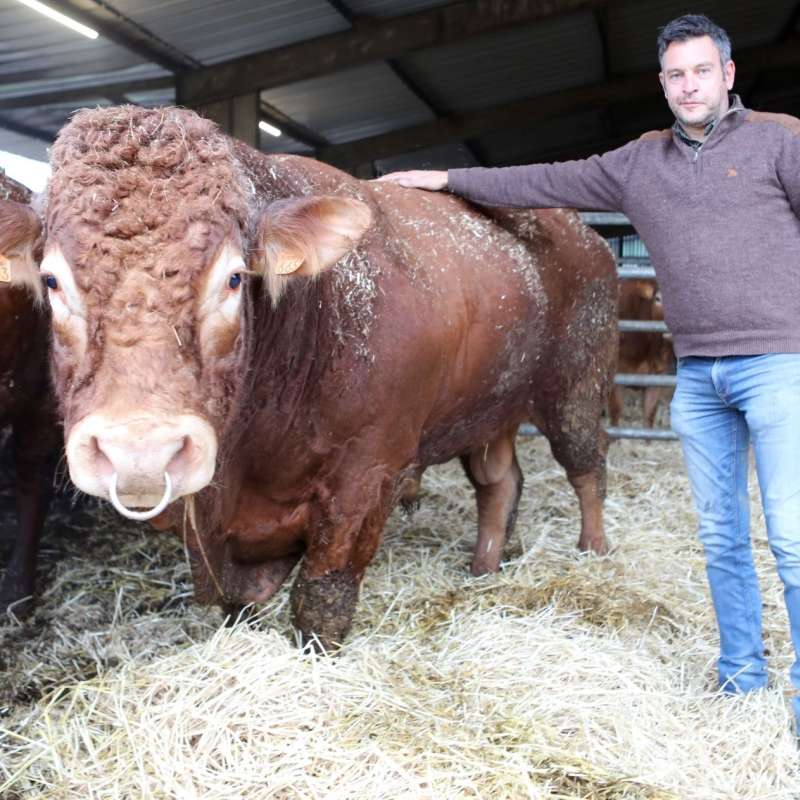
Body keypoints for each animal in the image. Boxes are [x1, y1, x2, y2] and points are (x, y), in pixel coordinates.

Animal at [0, 109, 620, 648]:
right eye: (51, 280)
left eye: (234, 278)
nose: (141, 452)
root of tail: (582, 231)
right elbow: (238, 606)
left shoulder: (366, 479)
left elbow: (322, 603)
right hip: (489, 407)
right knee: (499, 481)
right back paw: (486, 566)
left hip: (576, 386)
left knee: (587, 467)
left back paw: (594, 553)